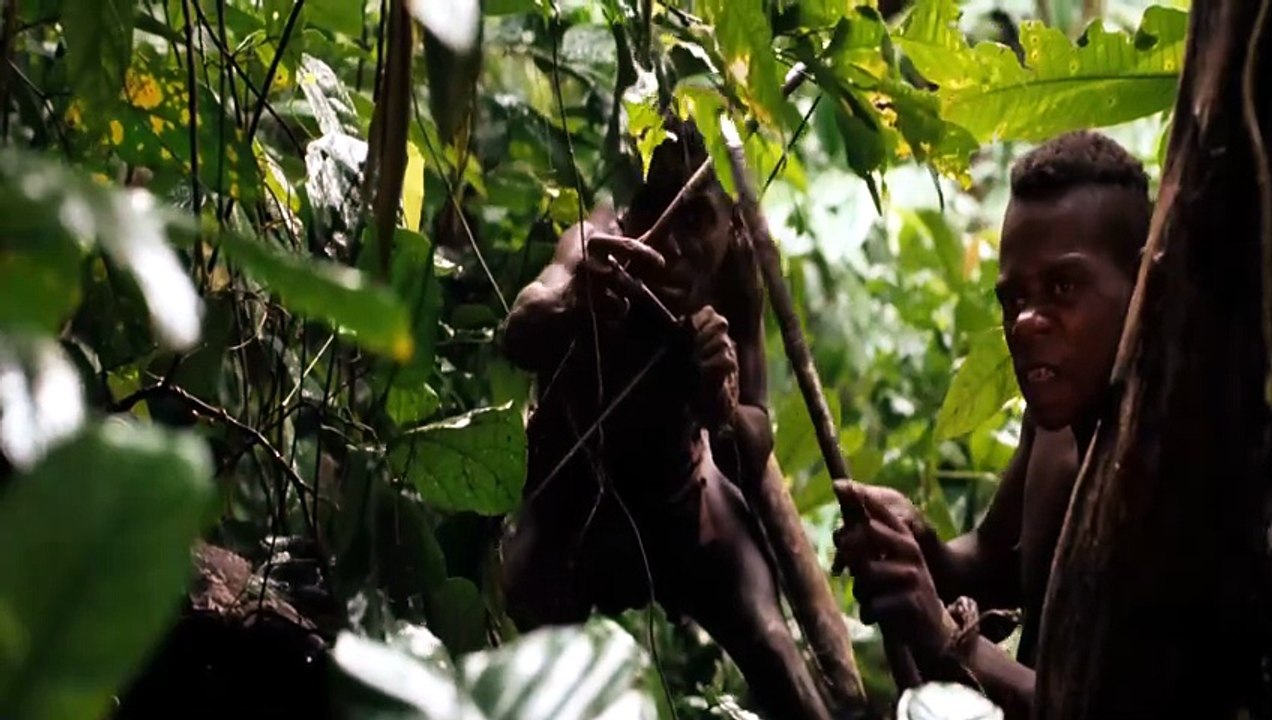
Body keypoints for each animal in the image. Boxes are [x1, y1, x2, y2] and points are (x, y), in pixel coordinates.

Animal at [496, 116, 832, 720]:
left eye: (697, 218)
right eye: (661, 207)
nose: (672, 248)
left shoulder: (746, 275)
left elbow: (755, 414)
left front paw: (714, 370)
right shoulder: (587, 232)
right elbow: (526, 319)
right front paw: (593, 290)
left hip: (711, 547)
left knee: (771, 643)